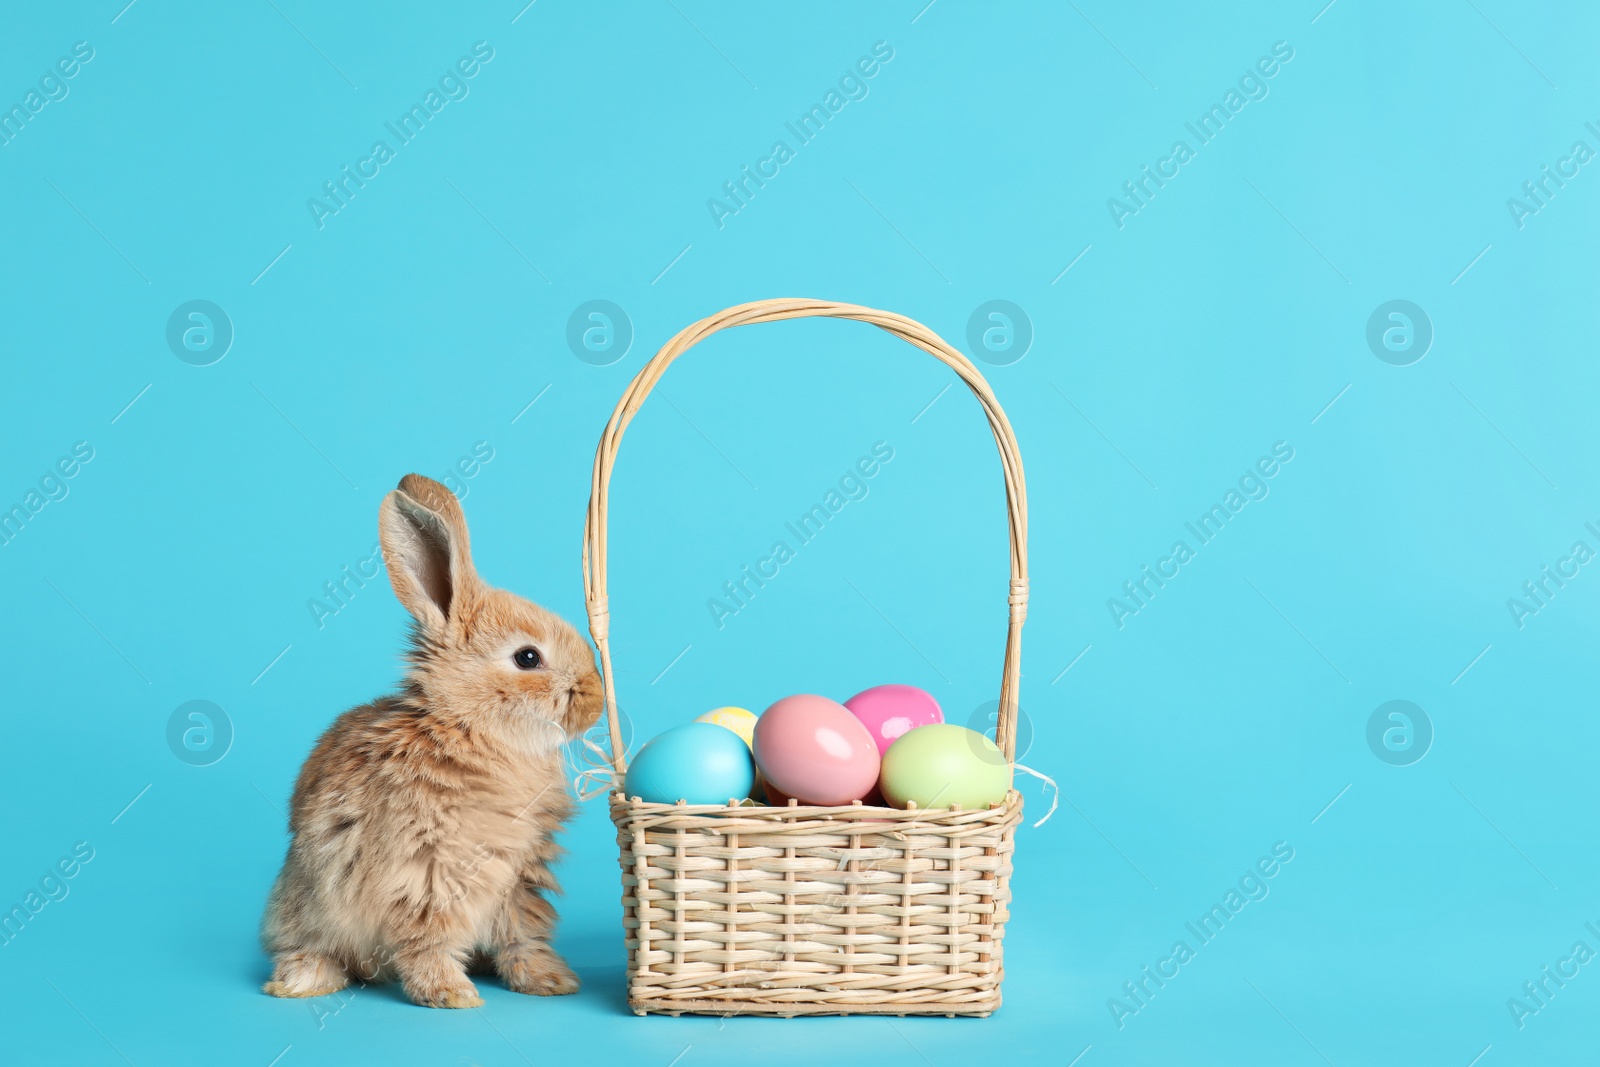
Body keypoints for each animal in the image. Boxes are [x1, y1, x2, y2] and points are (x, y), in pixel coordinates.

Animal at [262, 473, 601, 1011]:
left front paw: (549, 981)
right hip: (307, 905)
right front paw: (451, 994)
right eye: (527, 657)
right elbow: (427, 939)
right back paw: (302, 980)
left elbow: (523, 934)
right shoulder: (427, 873)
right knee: (308, 945)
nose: (596, 701)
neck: (466, 727)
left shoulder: (521, 877)